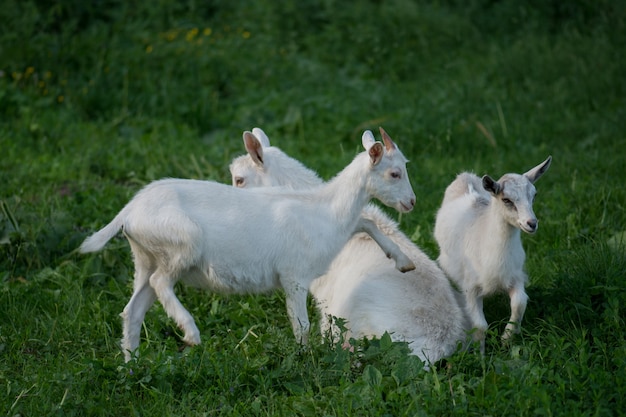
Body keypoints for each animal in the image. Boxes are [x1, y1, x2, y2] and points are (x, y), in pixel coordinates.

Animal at [81, 128, 414, 360]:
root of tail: (128, 212)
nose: (411, 202)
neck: (324, 210)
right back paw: (190, 333)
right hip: (180, 245)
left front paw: (403, 262)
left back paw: (132, 366)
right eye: (394, 172)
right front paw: (305, 361)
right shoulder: (294, 275)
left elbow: (366, 222)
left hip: (146, 256)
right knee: (161, 282)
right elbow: (301, 325)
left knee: (133, 309)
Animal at [434, 156, 552, 352]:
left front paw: (506, 339)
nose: (532, 223)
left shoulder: (515, 276)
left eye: (534, 195)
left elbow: (520, 303)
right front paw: (480, 353)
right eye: (506, 200)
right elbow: (480, 325)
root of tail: (465, 176)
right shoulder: (470, 287)